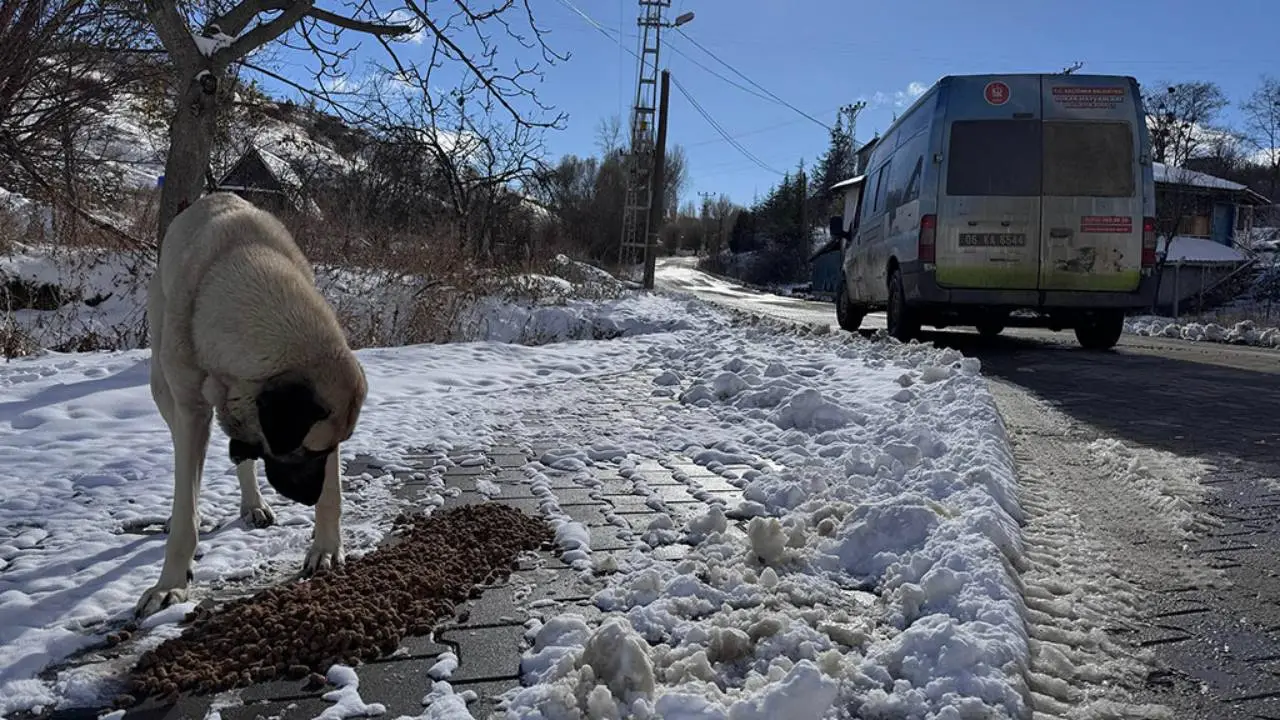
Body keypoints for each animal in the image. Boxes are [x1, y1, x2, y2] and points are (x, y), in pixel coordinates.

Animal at [140, 192, 371, 617]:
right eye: (302, 451)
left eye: (327, 450)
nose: (307, 497)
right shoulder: (191, 412)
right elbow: (185, 514)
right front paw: (170, 584)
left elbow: (333, 493)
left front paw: (326, 548)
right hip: (163, 385)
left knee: (240, 453)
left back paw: (253, 503)